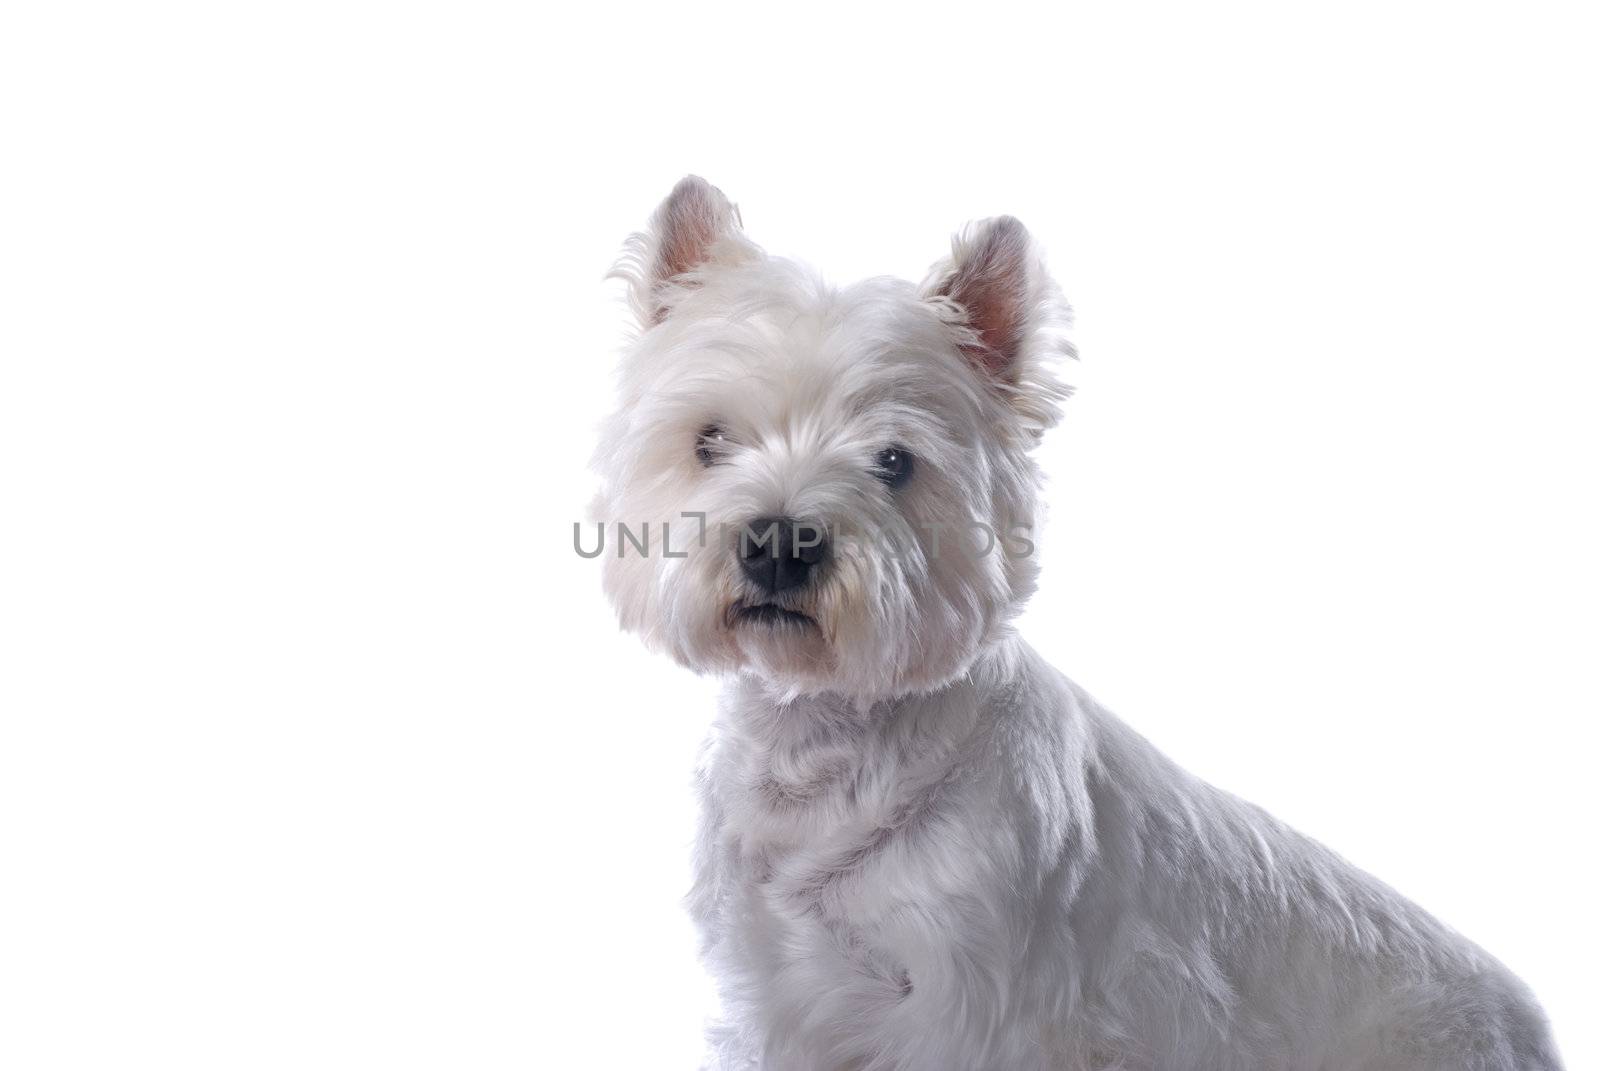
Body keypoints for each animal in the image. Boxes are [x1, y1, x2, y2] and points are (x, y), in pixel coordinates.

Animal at [592, 177, 1561, 1069]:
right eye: (711, 440)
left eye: (894, 461)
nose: (778, 546)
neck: (827, 743)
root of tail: (1534, 1027)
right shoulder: (779, 991)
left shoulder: (970, 1003)